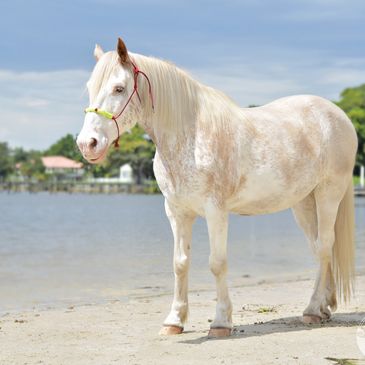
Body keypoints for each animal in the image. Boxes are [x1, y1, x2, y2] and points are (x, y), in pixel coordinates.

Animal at [77, 37, 356, 336]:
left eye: (119, 88)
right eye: (90, 88)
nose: (87, 144)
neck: (191, 136)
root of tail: (339, 116)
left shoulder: (216, 212)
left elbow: (217, 263)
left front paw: (221, 322)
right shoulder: (177, 212)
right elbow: (180, 263)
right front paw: (174, 321)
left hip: (329, 194)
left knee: (325, 246)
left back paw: (312, 310)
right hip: (303, 203)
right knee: (318, 249)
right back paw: (325, 306)